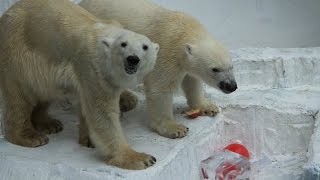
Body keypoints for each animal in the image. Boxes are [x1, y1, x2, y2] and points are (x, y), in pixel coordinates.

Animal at [0, 0, 160, 169]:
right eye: (123, 44)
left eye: (145, 47)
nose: (132, 59)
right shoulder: (93, 69)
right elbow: (102, 114)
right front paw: (140, 158)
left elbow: (88, 108)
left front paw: (88, 139)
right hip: (16, 55)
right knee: (19, 97)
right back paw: (29, 136)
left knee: (44, 91)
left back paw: (49, 124)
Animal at [79, 0, 236, 139]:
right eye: (215, 69)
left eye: (231, 66)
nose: (232, 86)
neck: (183, 31)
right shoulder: (165, 51)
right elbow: (160, 89)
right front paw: (175, 128)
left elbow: (192, 81)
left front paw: (208, 107)